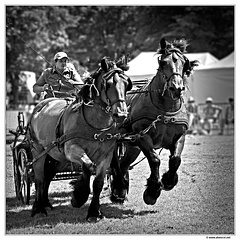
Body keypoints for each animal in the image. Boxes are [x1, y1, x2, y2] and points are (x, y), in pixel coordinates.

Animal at [27, 55, 133, 222]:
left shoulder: (106, 155)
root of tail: (40, 105)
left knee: (48, 176)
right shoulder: (71, 149)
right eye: (108, 84)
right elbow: (88, 165)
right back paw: (38, 208)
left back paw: (46, 203)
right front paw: (78, 196)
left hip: (57, 157)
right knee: (39, 178)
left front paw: (94, 212)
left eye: (127, 84)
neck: (95, 124)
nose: (121, 114)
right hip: (38, 150)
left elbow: (98, 182)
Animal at [109, 38, 199, 205]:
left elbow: (175, 159)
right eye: (163, 62)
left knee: (124, 164)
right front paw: (152, 191)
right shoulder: (142, 135)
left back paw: (120, 191)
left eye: (184, 63)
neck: (165, 109)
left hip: (132, 146)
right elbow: (154, 159)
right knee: (115, 164)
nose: (176, 88)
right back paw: (118, 187)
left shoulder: (180, 135)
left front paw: (168, 181)